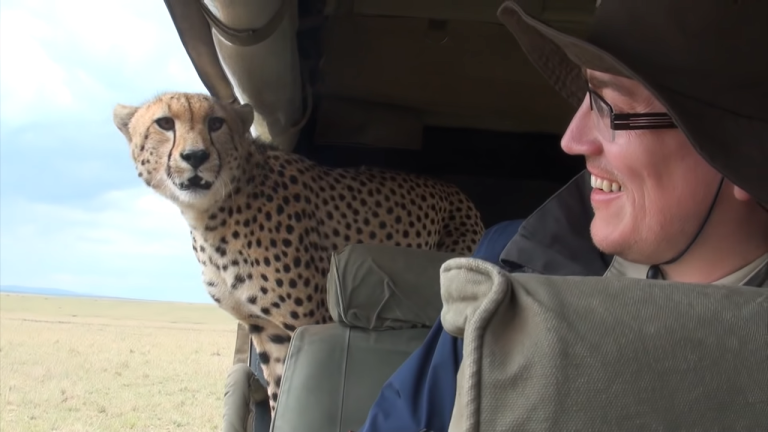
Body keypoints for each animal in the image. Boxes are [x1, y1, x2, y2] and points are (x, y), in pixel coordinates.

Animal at [111, 92, 484, 416]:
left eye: (216, 123)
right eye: (164, 123)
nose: (195, 156)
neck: (214, 211)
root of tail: (457, 191)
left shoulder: (306, 322)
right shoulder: (266, 329)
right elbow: (278, 391)